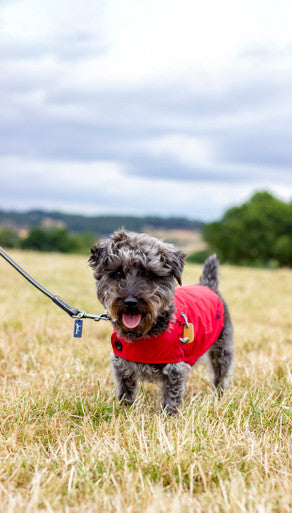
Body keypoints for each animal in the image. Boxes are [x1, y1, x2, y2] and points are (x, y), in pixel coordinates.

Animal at [88, 230, 234, 414]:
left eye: (151, 275)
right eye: (118, 273)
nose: (130, 302)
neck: (145, 334)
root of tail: (209, 286)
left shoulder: (175, 370)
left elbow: (171, 397)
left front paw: (168, 417)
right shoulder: (121, 366)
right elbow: (125, 391)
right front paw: (124, 411)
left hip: (222, 350)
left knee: (220, 375)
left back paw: (219, 397)